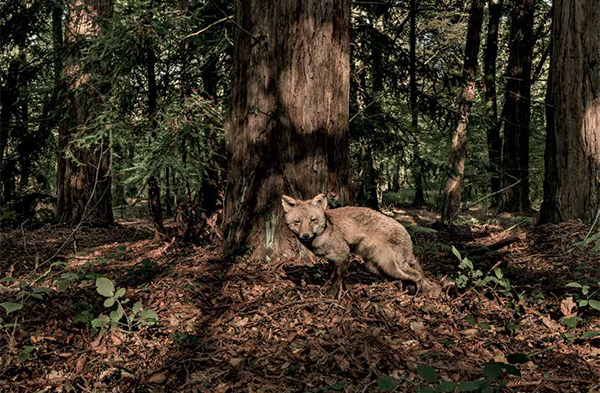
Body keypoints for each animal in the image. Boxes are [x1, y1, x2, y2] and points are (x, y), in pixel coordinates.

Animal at [278, 193, 442, 298]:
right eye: (297, 222)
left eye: (312, 220)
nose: (305, 235)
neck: (326, 231)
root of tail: (405, 231)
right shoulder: (333, 260)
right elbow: (332, 276)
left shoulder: (344, 256)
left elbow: (336, 280)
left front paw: (330, 296)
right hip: (374, 267)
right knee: (403, 278)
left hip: (392, 267)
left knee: (417, 276)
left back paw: (418, 294)